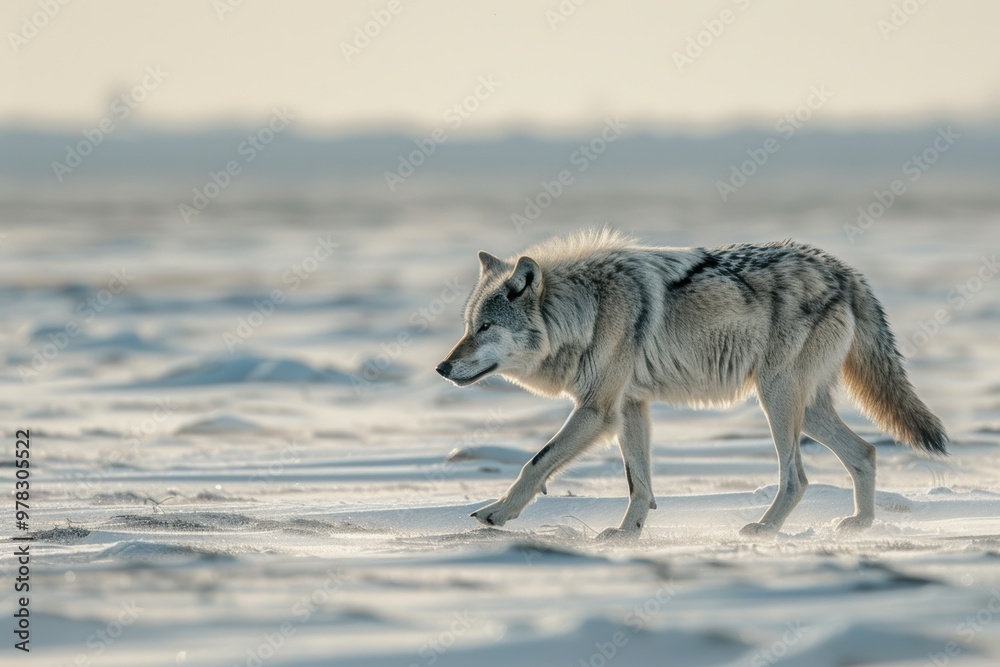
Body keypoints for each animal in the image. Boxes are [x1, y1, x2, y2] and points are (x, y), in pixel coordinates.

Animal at [436, 229, 947, 539]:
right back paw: (861, 524)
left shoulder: (597, 411)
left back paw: (764, 530)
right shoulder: (630, 408)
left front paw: (497, 513)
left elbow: (535, 463)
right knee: (866, 452)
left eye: (485, 327)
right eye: (468, 326)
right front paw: (627, 535)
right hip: (807, 409)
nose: (441, 367)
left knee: (798, 477)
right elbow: (638, 483)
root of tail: (841, 269)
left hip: (777, 399)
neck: (589, 308)